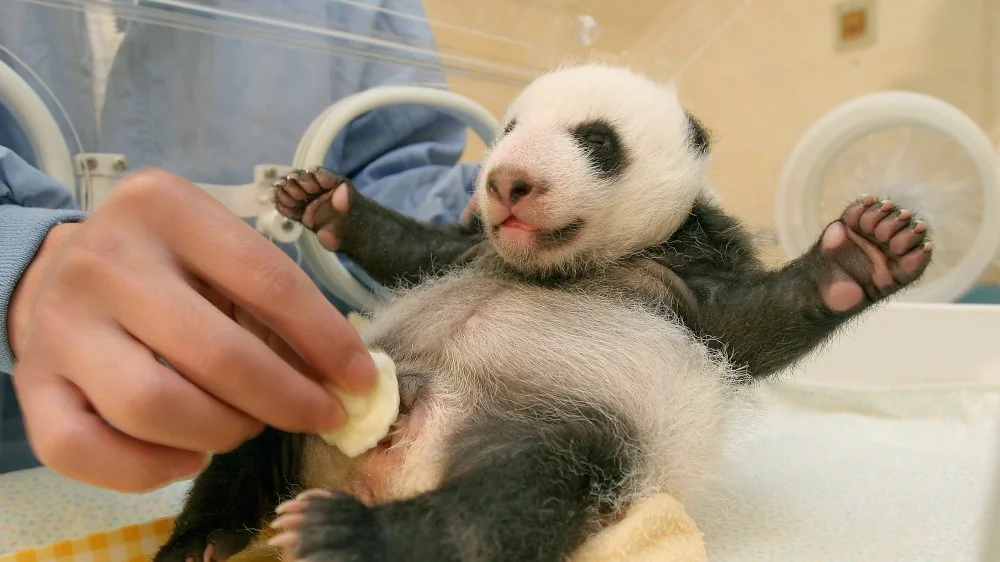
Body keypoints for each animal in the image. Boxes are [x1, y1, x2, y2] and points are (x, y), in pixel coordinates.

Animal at [154, 63, 933, 562]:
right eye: (508, 128)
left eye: (596, 140)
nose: (507, 182)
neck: (566, 265)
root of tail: (380, 466)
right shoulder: (469, 247)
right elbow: (408, 249)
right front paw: (323, 201)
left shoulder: (688, 278)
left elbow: (755, 322)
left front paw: (865, 253)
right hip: (314, 385)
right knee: (249, 441)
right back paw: (202, 540)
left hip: (561, 428)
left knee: (512, 500)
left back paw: (354, 536)